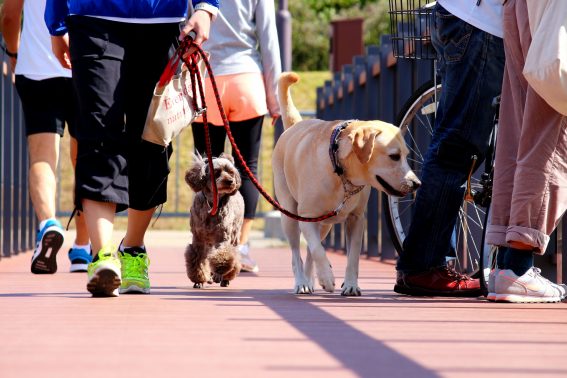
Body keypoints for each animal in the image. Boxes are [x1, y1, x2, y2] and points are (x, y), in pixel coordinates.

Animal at [184, 152, 242, 288]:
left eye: (231, 172)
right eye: (216, 172)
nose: (231, 181)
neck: (213, 204)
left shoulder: (223, 237)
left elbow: (223, 256)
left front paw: (219, 273)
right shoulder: (198, 239)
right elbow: (197, 259)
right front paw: (199, 280)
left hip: (234, 235)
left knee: (234, 257)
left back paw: (224, 279)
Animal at [276, 71, 422, 296]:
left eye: (406, 155)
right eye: (394, 156)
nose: (416, 184)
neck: (341, 173)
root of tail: (295, 126)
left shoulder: (356, 219)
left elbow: (352, 257)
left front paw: (351, 284)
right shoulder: (306, 216)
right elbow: (318, 250)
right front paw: (327, 278)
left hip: (325, 225)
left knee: (309, 251)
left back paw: (310, 279)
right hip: (290, 217)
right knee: (296, 253)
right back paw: (301, 282)